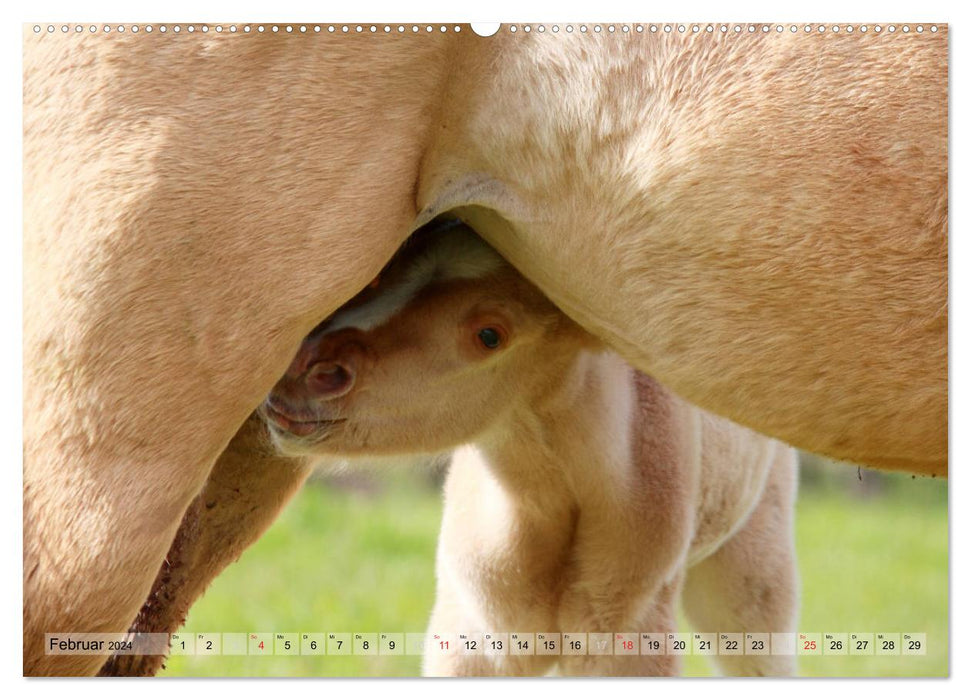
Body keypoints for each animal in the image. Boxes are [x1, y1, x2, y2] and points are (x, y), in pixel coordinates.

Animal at [260, 224, 796, 680]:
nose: (305, 367)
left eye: (489, 335)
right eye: (377, 276)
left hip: (751, 566)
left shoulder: (628, 641)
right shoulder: (472, 636)